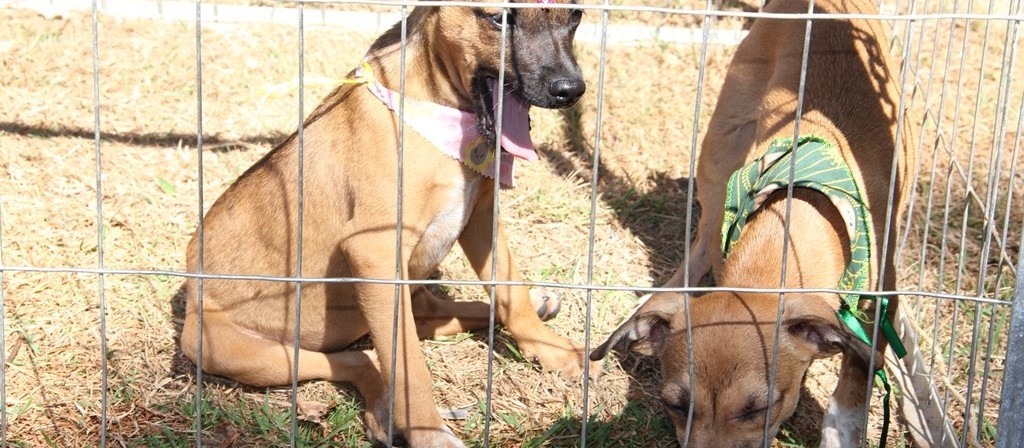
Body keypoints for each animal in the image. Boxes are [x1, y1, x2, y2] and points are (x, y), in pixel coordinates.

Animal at [176, 1, 593, 445]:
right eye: (499, 18)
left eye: (577, 15)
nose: (570, 91)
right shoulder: (374, 250)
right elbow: (407, 364)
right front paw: (429, 432)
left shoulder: (481, 218)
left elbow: (511, 291)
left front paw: (553, 350)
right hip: (240, 352)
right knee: (359, 357)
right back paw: (383, 410)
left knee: (427, 316)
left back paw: (539, 303)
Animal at [589, 0, 917, 445]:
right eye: (676, 405)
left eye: (758, 408)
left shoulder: (882, 305)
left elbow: (855, 381)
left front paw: (841, 434)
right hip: (721, 146)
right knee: (701, 240)